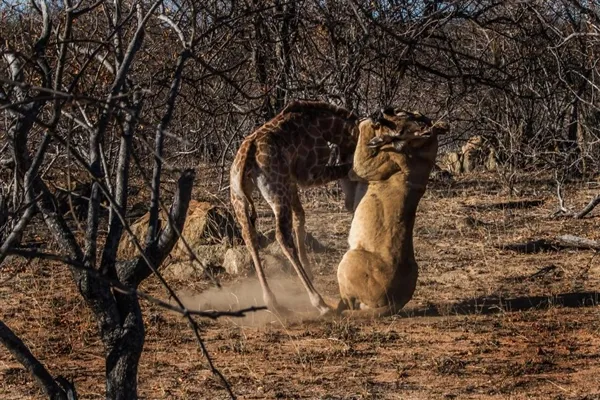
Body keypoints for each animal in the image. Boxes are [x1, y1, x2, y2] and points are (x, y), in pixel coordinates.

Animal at [230, 100, 358, 316]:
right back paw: (320, 303)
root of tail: (247, 156)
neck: (323, 126)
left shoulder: (290, 180)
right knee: (282, 237)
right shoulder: (308, 174)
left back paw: (272, 301)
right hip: (276, 192)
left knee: (249, 236)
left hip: (238, 197)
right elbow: (346, 167)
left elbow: (300, 216)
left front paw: (309, 269)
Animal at [336, 108, 448, 318]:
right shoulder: (353, 192)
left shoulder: (364, 166)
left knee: (350, 303)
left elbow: (362, 147)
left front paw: (367, 123)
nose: (384, 110)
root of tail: (397, 302)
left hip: (350, 258)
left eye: (402, 115)